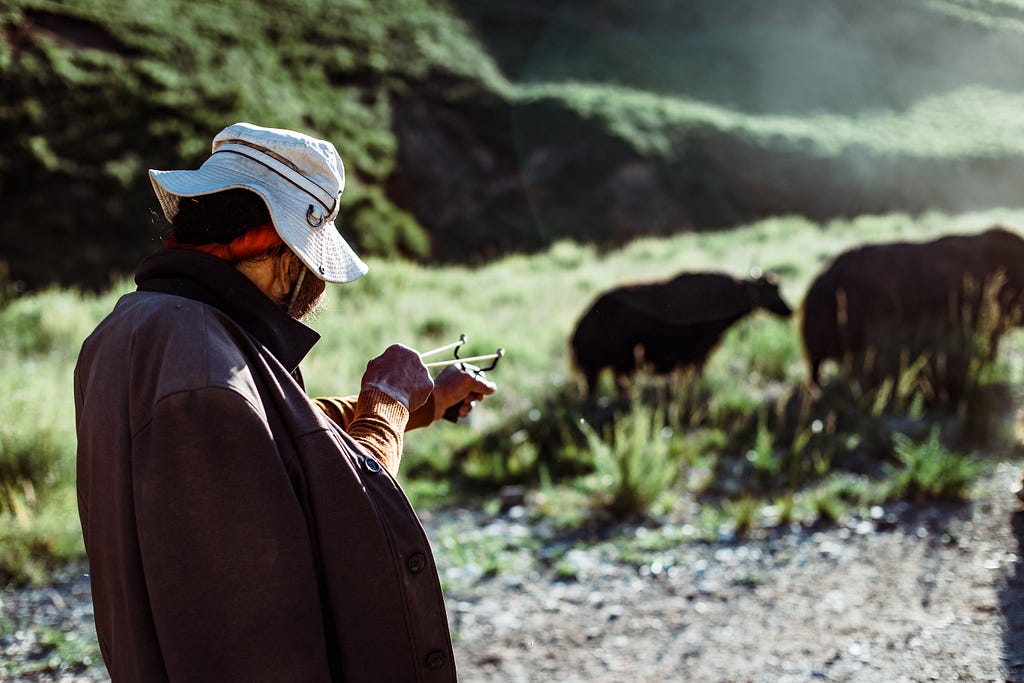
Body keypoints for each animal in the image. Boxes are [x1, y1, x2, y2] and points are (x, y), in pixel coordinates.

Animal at [569, 270, 790, 393]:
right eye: (774, 290)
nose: (789, 310)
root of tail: (579, 328)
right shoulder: (700, 349)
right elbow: (698, 371)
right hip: (603, 367)